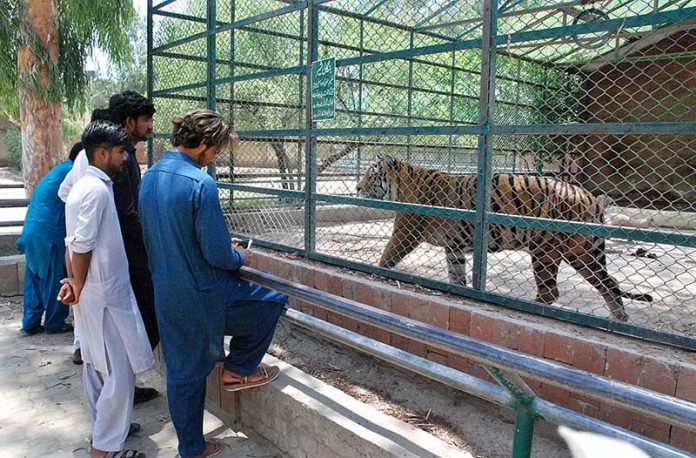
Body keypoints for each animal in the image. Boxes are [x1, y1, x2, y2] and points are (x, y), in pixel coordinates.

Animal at [358, 156, 652, 320]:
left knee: (551, 292)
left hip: (547, 251)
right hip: (582, 253)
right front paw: (459, 290)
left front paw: (377, 270)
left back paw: (527, 305)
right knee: (610, 283)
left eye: (371, 175)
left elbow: (387, 256)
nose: (357, 187)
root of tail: (589, 197)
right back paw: (620, 317)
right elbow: (456, 273)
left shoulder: (405, 232)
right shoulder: (454, 247)